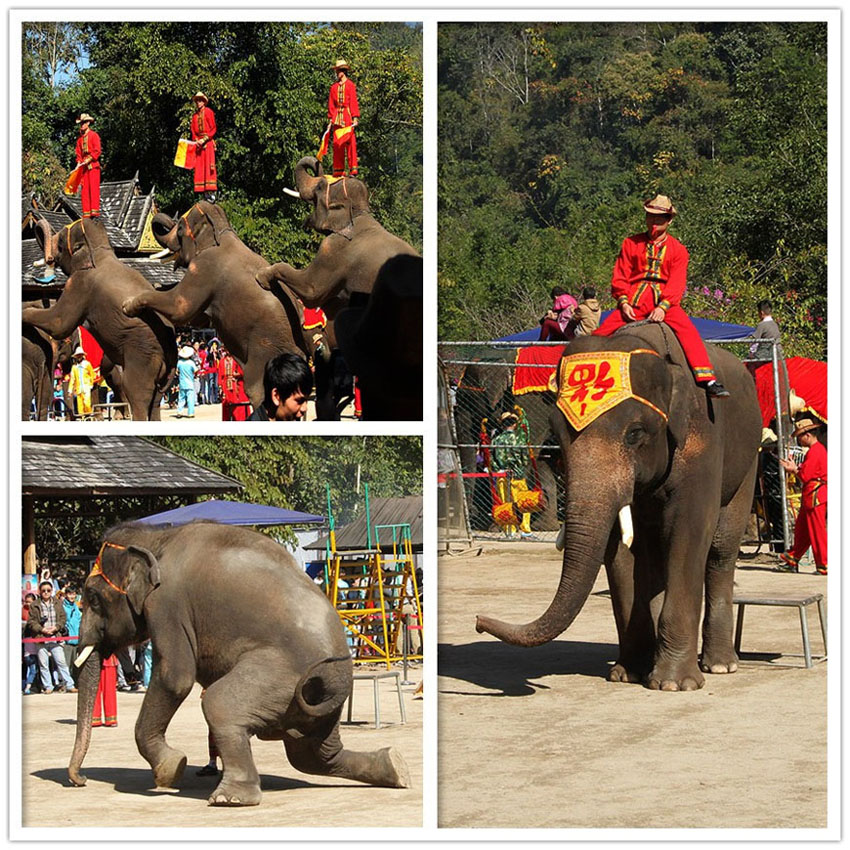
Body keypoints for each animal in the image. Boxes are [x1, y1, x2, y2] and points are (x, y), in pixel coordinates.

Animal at [21, 217, 176, 420]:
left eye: (61, 244)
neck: (102, 250)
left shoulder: (79, 283)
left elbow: (59, 323)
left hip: (142, 355)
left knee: (136, 392)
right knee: (155, 399)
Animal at [68, 520, 410, 804]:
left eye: (93, 597)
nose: (80, 780)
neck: (157, 536)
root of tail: (339, 678)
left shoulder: (168, 604)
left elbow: (175, 676)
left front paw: (171, 769)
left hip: (281, 677)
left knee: (221, 705)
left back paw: (229, 798)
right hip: (316, 705)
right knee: (313, 755)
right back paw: (396, 767)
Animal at [120, 199, 314, 410]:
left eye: (180, 229)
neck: (222, 230)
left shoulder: (205, 267)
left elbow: (181, 308)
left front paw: (127, 305)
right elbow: (198, 317)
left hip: (265, 347)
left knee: (257, 388)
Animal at [474, 322, 760, 692]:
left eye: (635, 433)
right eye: (557, 436)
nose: (478, 620)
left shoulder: (703, 441)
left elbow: (689, 531)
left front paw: (674, 685)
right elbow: (622, 549)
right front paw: (628, 674)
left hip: (749, 457)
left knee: (721, 549)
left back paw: (721, 665)